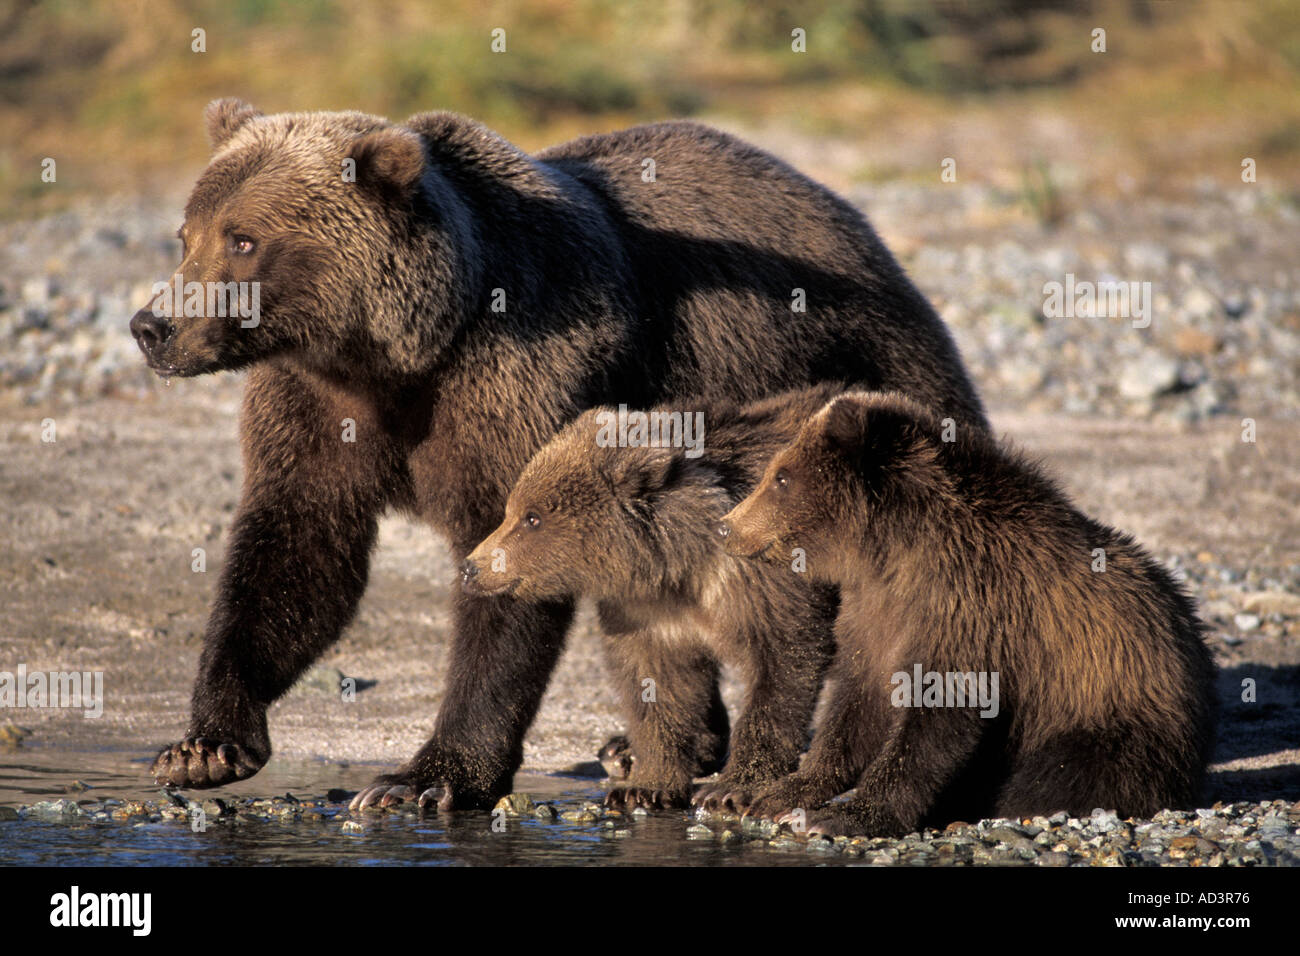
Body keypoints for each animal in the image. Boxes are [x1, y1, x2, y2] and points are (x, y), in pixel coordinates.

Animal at [461, 385, 844, 810]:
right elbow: (657, 680)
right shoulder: (648, 610)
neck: (683, 563)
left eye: (532, 517)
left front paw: (729, 788)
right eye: (513, 509)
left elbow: (782, 664)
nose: (472, 566)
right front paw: (646, 786)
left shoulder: (764, 583)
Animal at [717, 391, 1216, 838]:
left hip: (1113, 709)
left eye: (782, 478)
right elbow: (857, 704)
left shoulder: (969, 612)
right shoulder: (875, 612)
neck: (893, 553)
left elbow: (933, 723)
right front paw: (775, 793)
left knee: (1059, 772)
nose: (727, 526)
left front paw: (846, 815)